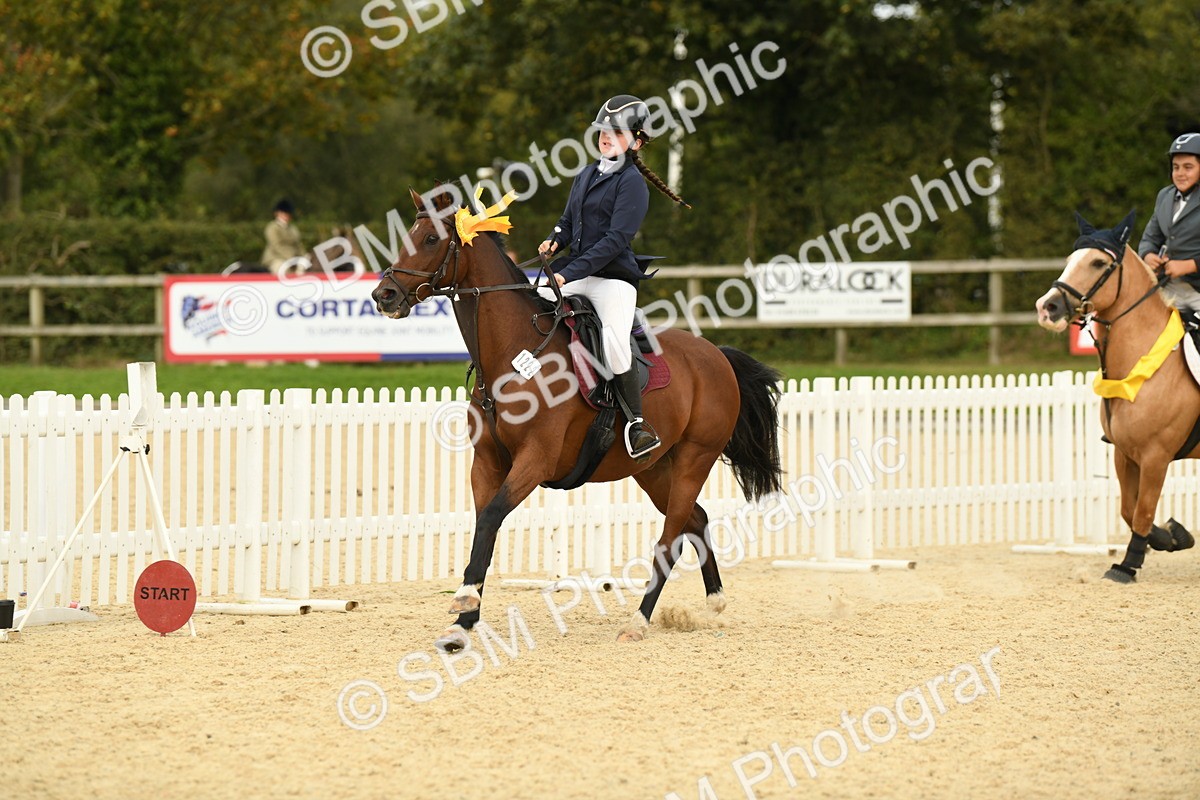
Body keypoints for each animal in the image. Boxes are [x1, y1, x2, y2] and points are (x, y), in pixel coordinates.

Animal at [371, 187, 784, 649]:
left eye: (429, 240)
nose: (383, 296)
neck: (515, 357)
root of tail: (717, 355)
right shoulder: (487, 462)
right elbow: (483, 528)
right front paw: (463, 622)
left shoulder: (536, 459)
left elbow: (493, 517)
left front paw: (463, 601)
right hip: (654, 469)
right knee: (696, 520)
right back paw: (714, 601)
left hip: (696, 458)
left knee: (671, 539)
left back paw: (638, 621)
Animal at [1035, 210, 1198, 583]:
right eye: (1070, 260)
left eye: (1098, 262)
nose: (1047, 307)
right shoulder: (1125, 454)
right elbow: (1128, 509)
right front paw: (1172, 536)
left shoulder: (1155, 456)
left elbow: (1143, 510)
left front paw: (1127, 565)